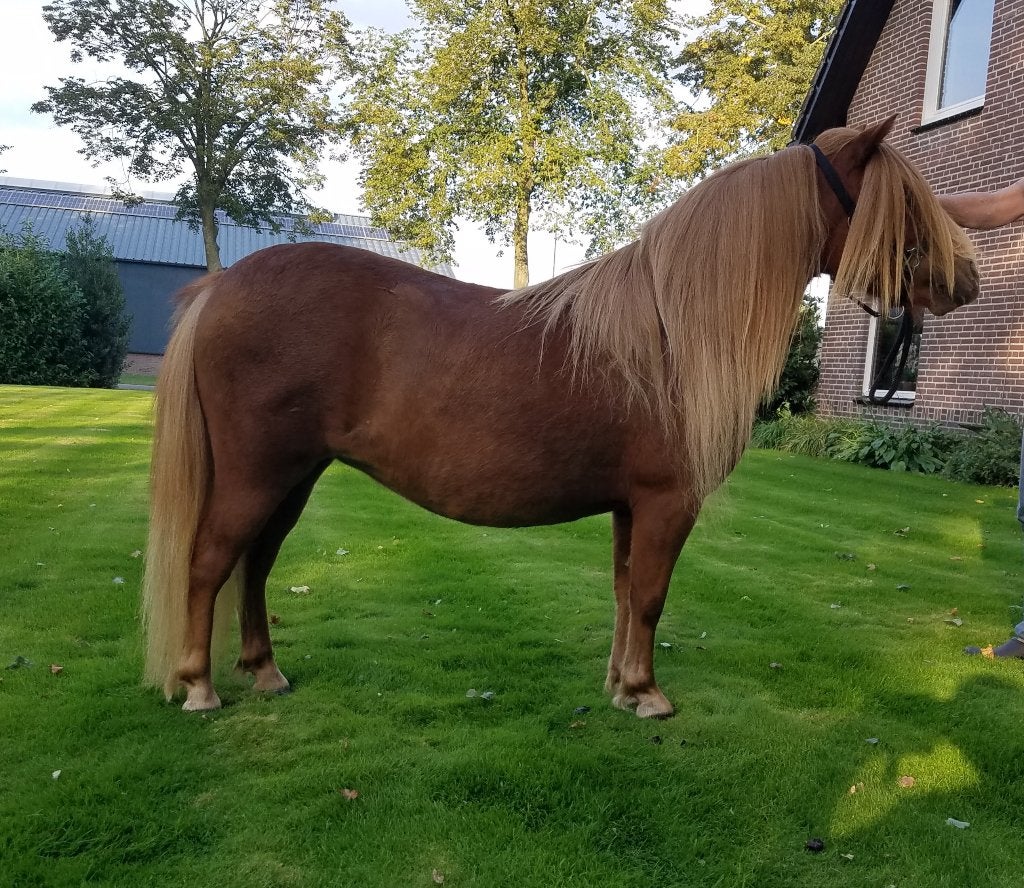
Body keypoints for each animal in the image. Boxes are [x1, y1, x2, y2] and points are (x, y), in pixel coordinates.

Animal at [143, 117, 980, 717]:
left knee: (256, 564)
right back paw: (198, 686)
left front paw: (619, 686)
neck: (672, 332)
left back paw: (265, 673)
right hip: (257, 475)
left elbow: (625, 593)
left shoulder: (630, 507)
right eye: (906, 204)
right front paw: (647, 696)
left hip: (296, 478)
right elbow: (651, 596)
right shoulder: (668, 503)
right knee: (211, 561)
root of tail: (222, 286)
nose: (965, 281)